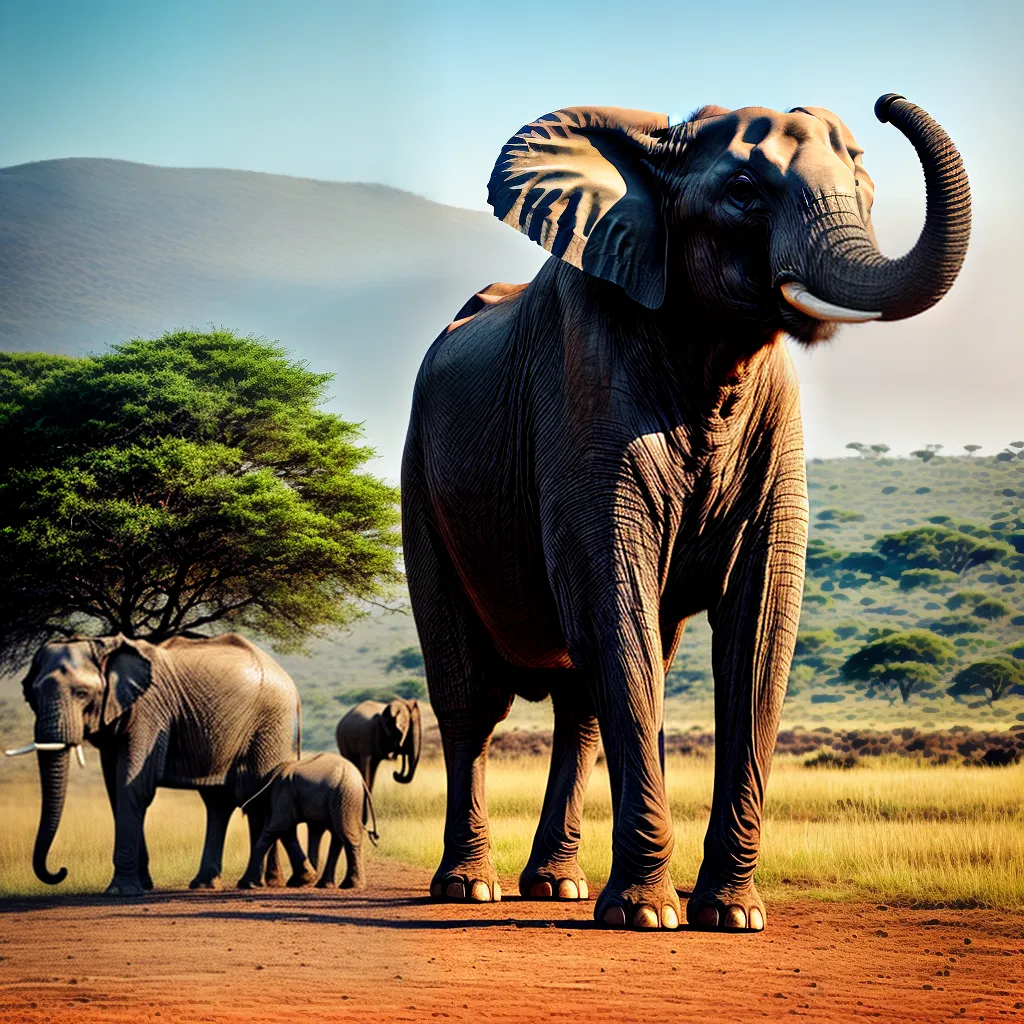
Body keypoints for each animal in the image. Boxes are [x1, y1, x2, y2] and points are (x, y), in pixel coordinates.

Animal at [8, 633, 302, 896]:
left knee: (257, 796)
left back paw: (257, 883)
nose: (61, 870)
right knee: (218, 802)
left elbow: (133, 787)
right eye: (31, 696)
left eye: (82, 693)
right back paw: (208, 884)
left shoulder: (148, 710)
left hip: (271, 722)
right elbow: (116, 791)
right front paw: (143, 885)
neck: (104, 647)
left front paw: (121, 891)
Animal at [239, 753, 378, 890]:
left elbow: (279, 827)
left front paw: (246, 884)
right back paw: (325, 885)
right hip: (342, 798)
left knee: (346, 835)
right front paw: (302, 881)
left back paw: (351, 886)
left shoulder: (283, 792)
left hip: (345, 796)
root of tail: (361, 780)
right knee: (337, 835)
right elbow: (290, 831)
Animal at [401, 95, 969, 931]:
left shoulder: (774, 418)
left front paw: (733, 917)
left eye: (863, 181)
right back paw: (471, 888)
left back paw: (558, 887)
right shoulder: (582, 389)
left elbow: (757, 627)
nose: (885, 102)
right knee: (470, 699)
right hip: (421, 484)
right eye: (742, 190)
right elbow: (616, 608)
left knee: (581, 704)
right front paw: (647, 916)